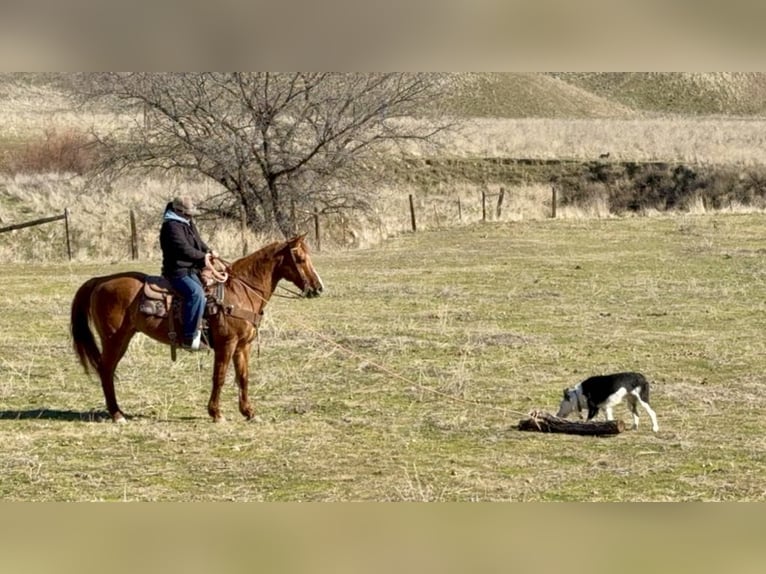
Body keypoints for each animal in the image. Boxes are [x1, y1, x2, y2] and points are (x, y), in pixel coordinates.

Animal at [69, 234, 324, 424]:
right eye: (300, 258)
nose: (318, 288)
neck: (240, 291)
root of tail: (100, 280)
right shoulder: (227, 344)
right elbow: (219, 377)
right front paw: (216, 413)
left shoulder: (243, 346)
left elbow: (243, 377)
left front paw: (249, 412)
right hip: (115, 339)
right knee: (106, 371)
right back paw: (117, 414)